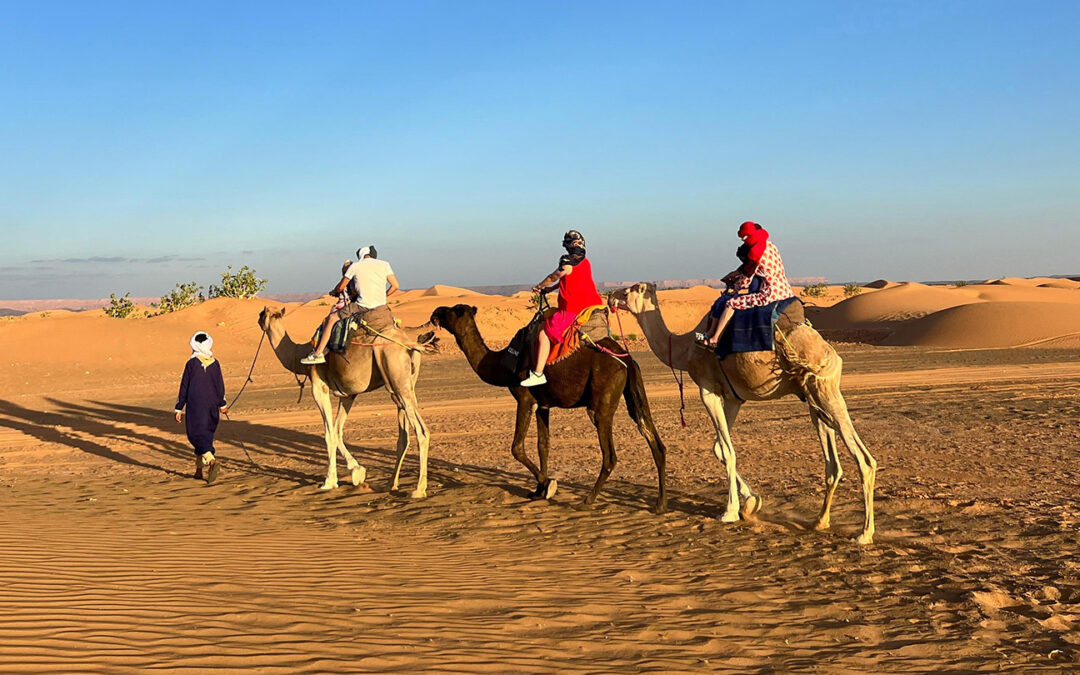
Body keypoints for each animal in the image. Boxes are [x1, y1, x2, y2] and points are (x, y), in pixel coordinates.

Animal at [257, 304, 429, 494]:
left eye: (262, 314)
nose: (258, 319)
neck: (298, 355)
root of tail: (409, 345)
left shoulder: (319, 386)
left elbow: (329, 433)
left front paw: (329, 481)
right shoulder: (348, 394)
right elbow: (337, 430)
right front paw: (357, 471)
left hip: (396, 375)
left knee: (421, 431)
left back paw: (419, 490)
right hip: (403, 385)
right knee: (403, 434)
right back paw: (391, 483)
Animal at [427, 304, 665, 509]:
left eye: (455, 310)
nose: (435, 312)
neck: (503, 363)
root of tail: (627, 360)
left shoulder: (525, 399)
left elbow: (516, 447)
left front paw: (548, 484)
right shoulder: (544, 405)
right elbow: (543, 445)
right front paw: (537, 491)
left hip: (602, 402)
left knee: (610, 455)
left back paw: (588, 500)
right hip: (633, 393)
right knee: (653, 438)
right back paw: (659, 505)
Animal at [609, 282, 876, 542]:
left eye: (630, 290)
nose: (611, 296)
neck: (685, 350)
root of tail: (831, 353)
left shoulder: (708, 390)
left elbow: (727, 452)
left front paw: (729, 511)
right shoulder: (733, 398)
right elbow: (718, 448)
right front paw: (751, 502)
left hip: (824, 388)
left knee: (864, 460)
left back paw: (864, 534)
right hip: (812, 396)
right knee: (832, 464)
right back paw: (820, 521)